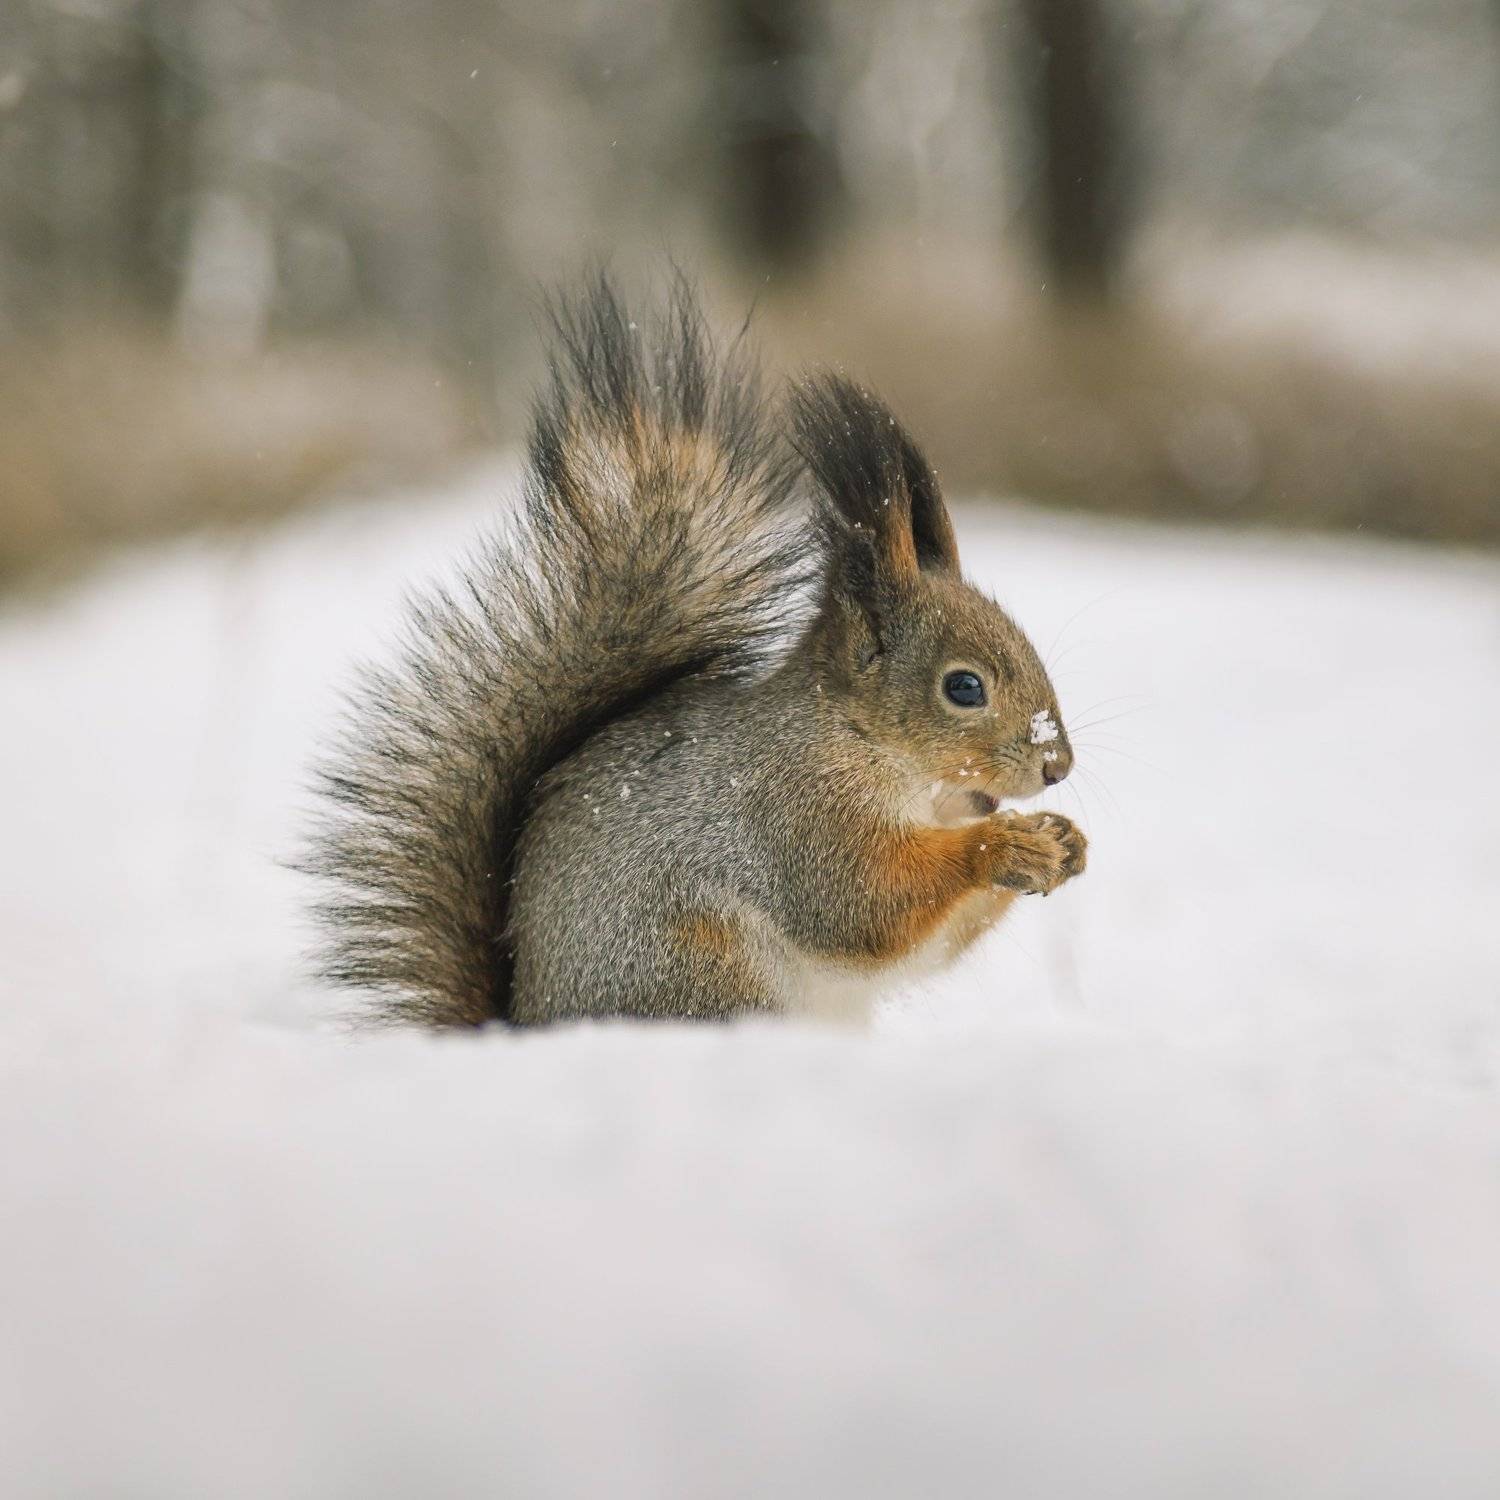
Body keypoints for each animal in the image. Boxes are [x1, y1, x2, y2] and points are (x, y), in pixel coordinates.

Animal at [309, 277, 1086, 1027]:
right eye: (964, 687)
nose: (1058, 766)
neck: (867, 746)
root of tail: (525, 1026)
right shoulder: (797, 815)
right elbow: (865, 905)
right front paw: (1005, 845)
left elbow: (932, 943)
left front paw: (1064, 840)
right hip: (702, 970)